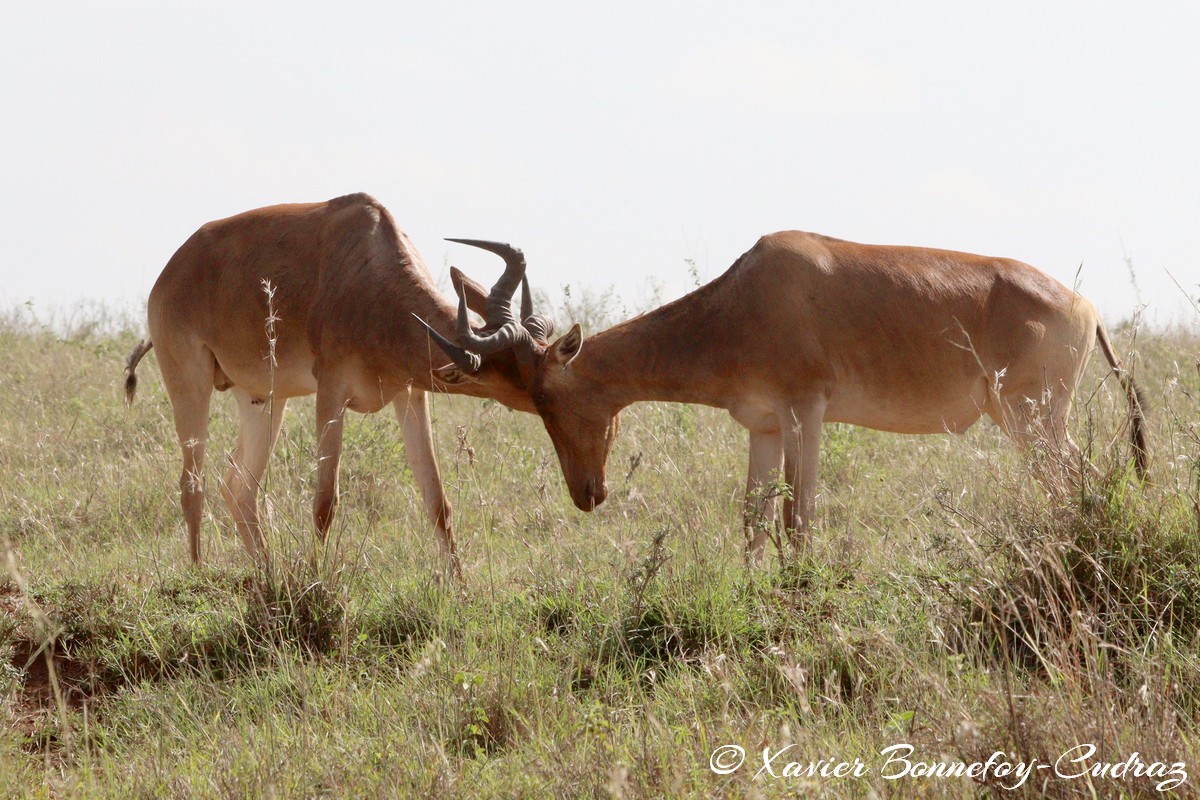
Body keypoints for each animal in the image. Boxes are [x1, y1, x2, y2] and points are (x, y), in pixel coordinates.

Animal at [124, 194, 549, 575]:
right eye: (518, 371)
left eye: (545, 351)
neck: (367, 262)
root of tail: (173, 267)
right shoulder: (331, 393)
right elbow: (325, 502)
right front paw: (316, 578)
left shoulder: (410, 395)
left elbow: (437, 500)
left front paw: (458, 587)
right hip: (188, 382)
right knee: (192, 483)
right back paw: (199, 574)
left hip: (262, 399)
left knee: (238, 485)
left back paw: (266, 572)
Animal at [432, 231, 1142, 556]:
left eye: (548, 399)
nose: (588, 494)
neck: (749, 293)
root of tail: (1085, 306)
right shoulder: (764, 426)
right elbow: (753, 518)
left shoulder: (808, 411)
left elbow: (798, 518)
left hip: (1032, 418)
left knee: (1077, 482)